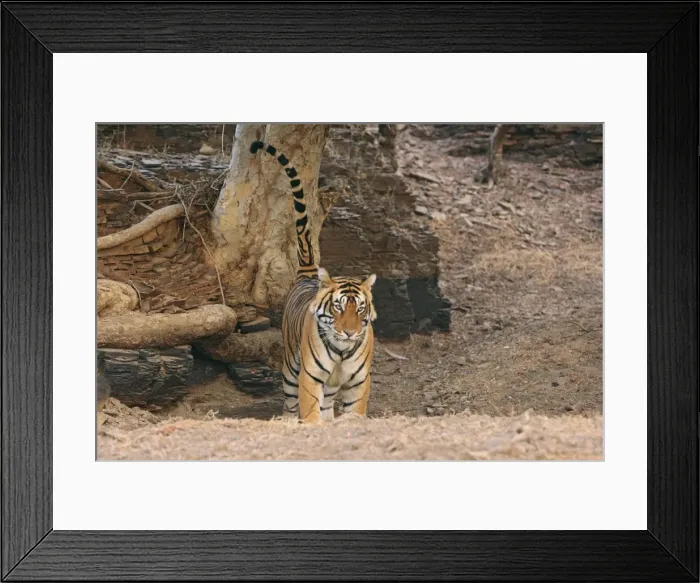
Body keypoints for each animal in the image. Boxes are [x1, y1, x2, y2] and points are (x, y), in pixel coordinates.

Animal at [250, 140, 377, 423]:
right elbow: (308, 409)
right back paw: (288, 421)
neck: (342, 350)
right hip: (290, 366)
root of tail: (308, 275)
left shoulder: (358, 382)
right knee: (289, 402)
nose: (350, 332)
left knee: (327, 402)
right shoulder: (309, 375)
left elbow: (355, 411)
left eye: (360, 309)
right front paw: (310, 425)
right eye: (338, 307)